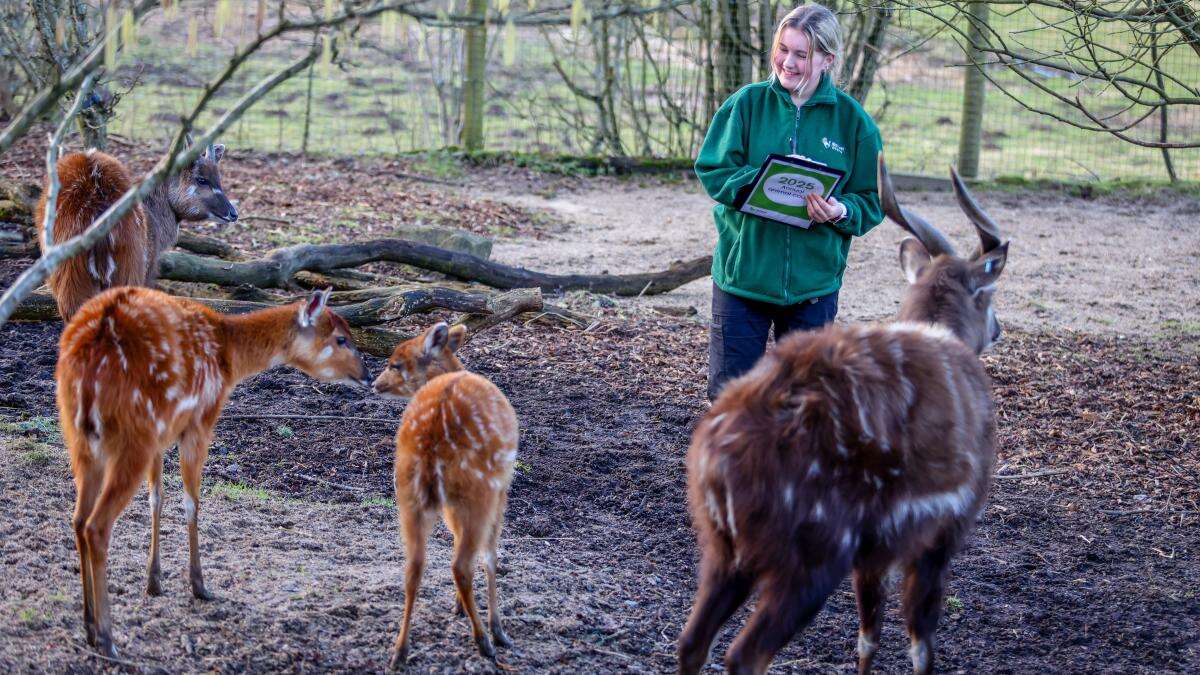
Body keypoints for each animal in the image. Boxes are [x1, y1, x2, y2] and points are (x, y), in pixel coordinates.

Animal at [55, 283, 369, 658]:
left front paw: (154, 582)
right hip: (132, 436)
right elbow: (192, 502)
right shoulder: (199, 421)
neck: (229, 356)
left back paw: (88, 625)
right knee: (96, 525)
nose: (367, 375)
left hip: (81, 437)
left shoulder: (162, 433)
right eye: (341, 338)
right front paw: (199, 585)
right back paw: (107, 638)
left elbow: (157, 497)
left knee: (77, 519)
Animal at [372, 324, 518, 662]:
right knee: (462, 564)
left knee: (413, 566)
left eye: (395, 364)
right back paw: (486, 639)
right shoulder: (501, 488)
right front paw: (496, 627)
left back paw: (400, 650)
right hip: (479, 488)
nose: (374, 384)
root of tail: (434, 434)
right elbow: (490, 556)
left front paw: (458, 606)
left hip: (409, 491)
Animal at [681, 154, 1008, 667]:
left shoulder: (872, 555)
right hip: (810, 561)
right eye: (989, 294)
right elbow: (921, 643)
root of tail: (719, 450)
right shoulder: (944, 532)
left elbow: (867, 635)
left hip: (723, 552)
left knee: (692, 643)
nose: (998, 329)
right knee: (743, 655)